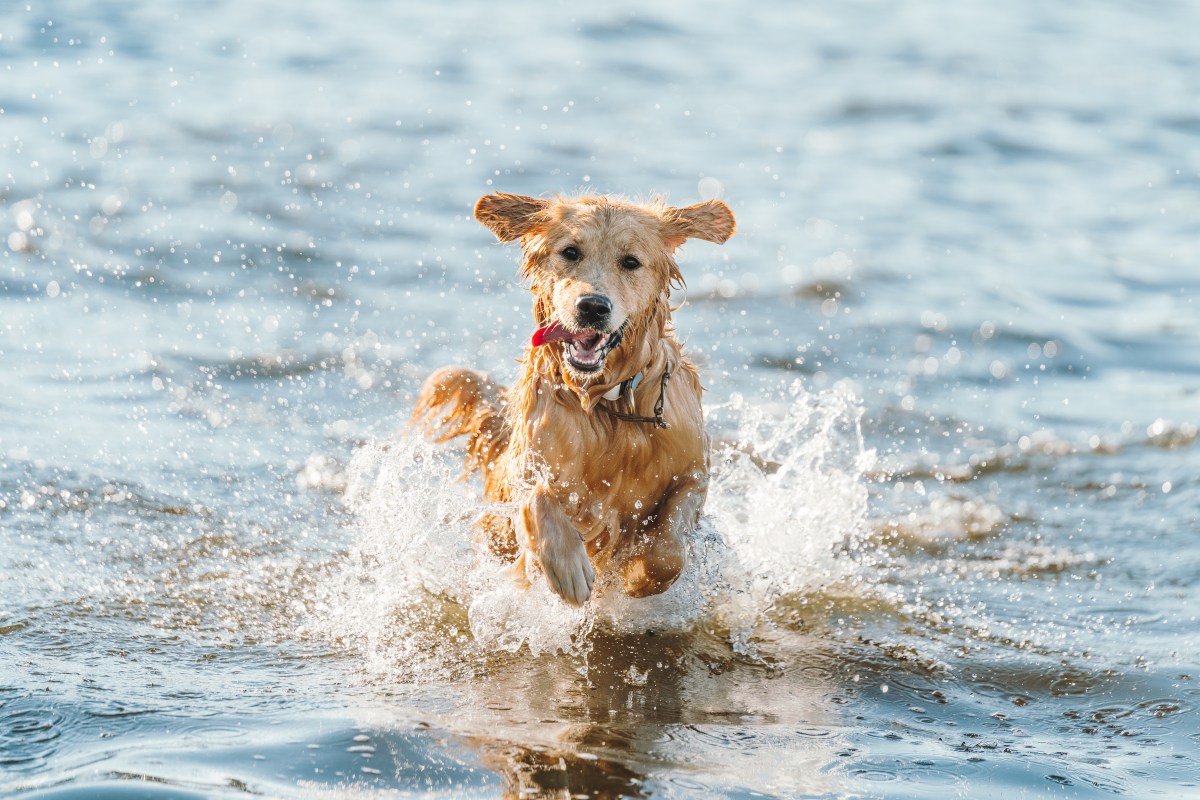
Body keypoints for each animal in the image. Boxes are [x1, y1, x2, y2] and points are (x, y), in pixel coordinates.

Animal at [410, 194, 729, 606]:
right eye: (570, 252)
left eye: (630, 261)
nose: (592, 306)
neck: (609, 402)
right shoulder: (532, 463)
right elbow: (538, 499)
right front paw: (568, 568)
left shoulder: (693, 471)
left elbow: (668, 551)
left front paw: (637, 578)